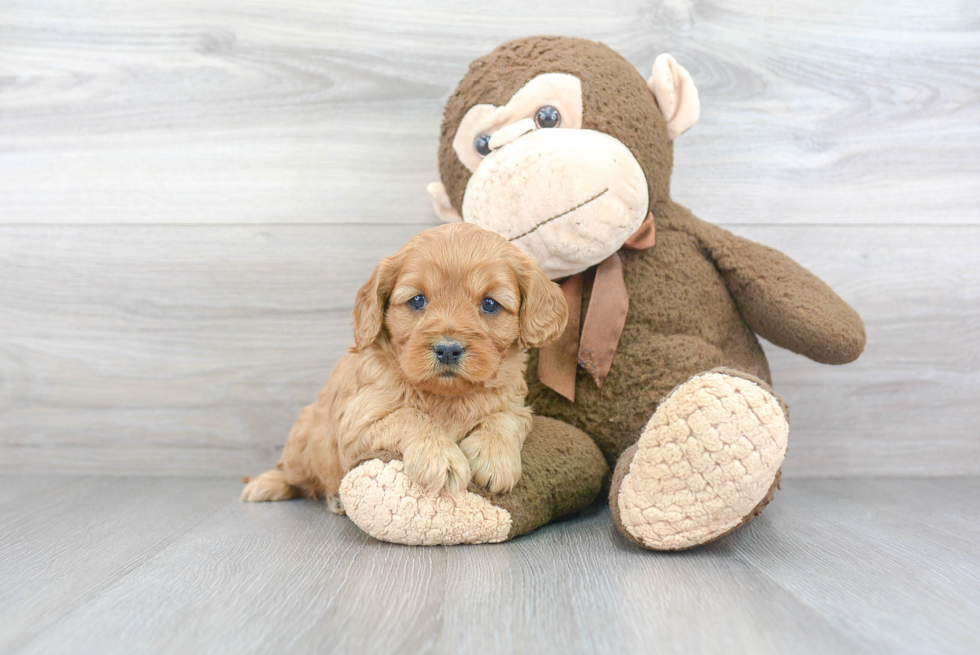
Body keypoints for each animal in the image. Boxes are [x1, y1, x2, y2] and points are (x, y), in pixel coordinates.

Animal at [241, 223, 572, 510]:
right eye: (417, 301)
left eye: (490, 304)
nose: (448, 350)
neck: (447, 397)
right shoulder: (358, 422)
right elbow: (409, 415)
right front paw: (440, 457)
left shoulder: (517, 405)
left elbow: (503, 419)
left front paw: (494, 457)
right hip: (303, 443)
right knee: (293, 473)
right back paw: (268, 485)